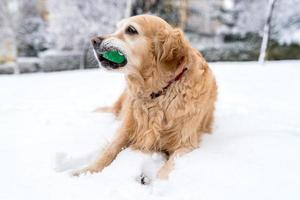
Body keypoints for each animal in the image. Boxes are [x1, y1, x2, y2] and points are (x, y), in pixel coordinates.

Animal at [74, 14, 217, 182]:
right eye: (117, 28)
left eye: (131, 29)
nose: (94, 40)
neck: (157, 93)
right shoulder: (127, 130)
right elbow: (108, 152)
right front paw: (84, 171)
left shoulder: (186, 143)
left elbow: (168, 166)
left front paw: (158, 183)